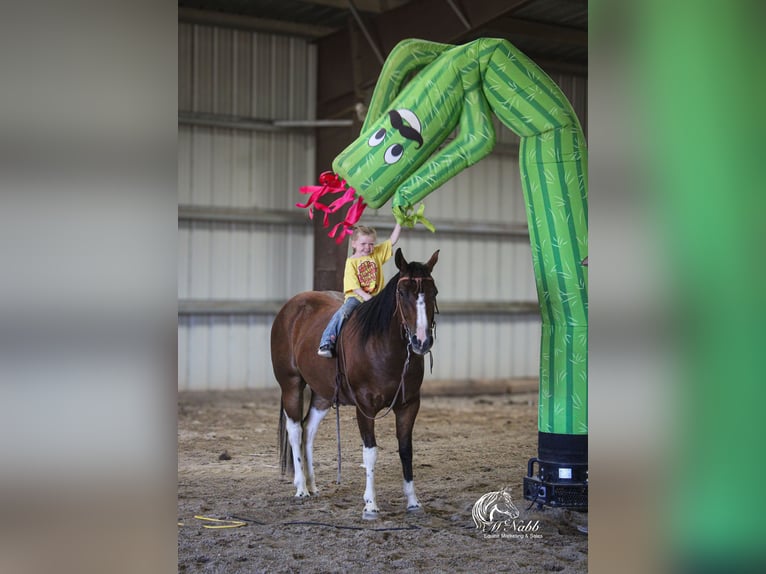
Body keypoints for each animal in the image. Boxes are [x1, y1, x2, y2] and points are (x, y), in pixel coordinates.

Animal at [271, 248, 439, 519]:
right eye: (403, 293)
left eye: (434, 292)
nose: (421, 341)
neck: (382, 346)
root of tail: (291, 307)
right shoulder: (365, 407)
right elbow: (370, 453)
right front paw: (370, 504)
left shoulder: (409, 405)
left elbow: (406, 450)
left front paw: (413, 502)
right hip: (291, 385)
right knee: (295, 430)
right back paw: (301, 488)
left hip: (323, 394)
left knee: (308, 430)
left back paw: (312, 484)